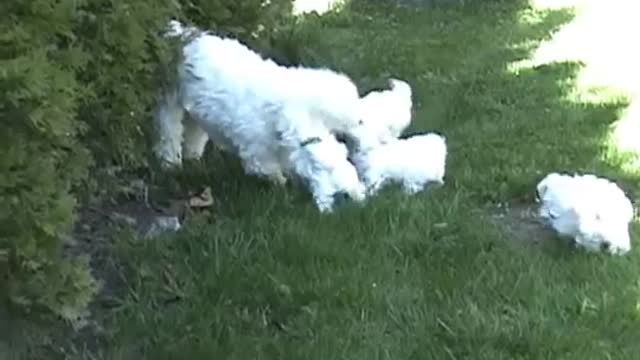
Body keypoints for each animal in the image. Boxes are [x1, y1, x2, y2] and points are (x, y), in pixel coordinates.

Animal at [153, 20, 368, 186]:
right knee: (169, 132)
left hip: (197, 110)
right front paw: (281, 184)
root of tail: (178, 34)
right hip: (170, 102)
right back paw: (170, 163)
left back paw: (193, 158)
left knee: (194, 132)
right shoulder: (257, 150)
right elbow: (268, 169)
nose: (362, 120)